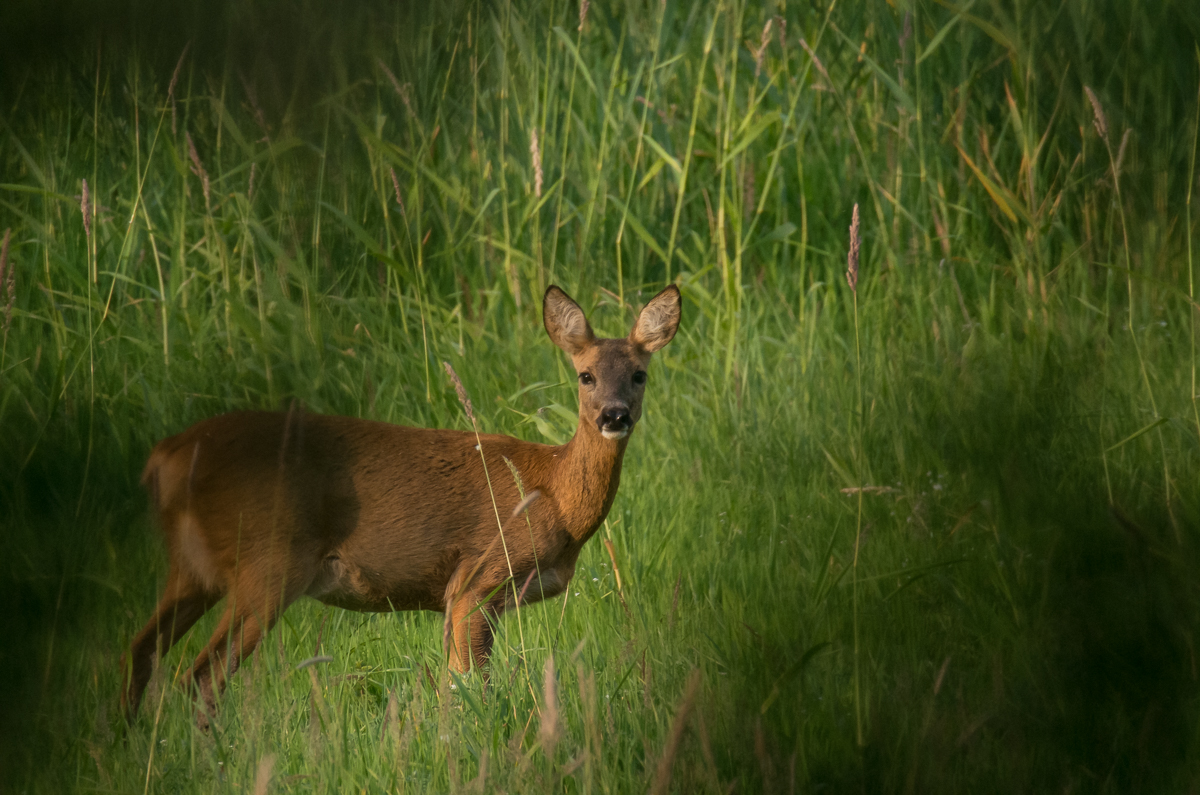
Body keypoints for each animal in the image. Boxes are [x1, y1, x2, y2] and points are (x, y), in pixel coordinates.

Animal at [124, 283, 686, 720]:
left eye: (639, 375)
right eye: (585, 375)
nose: (614, 415)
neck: (553, 494)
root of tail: (165, 454)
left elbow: (458, 685)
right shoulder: (478, 578)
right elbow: (468, 688)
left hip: (194, 568)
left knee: (142, 650)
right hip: (269, 563)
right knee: (199, 678)